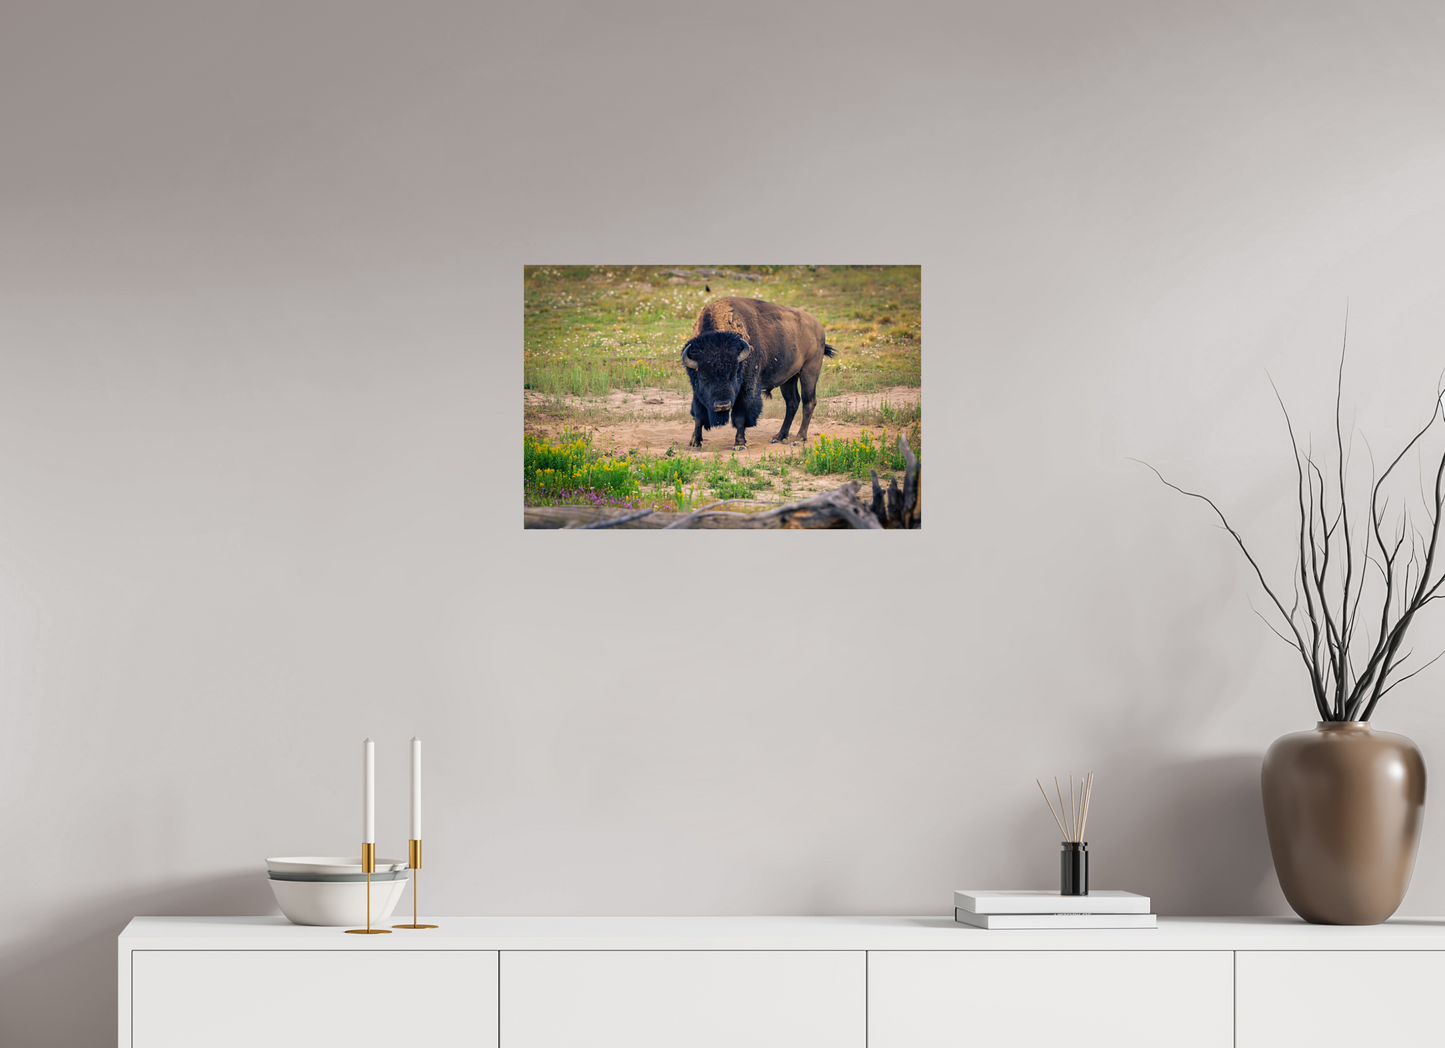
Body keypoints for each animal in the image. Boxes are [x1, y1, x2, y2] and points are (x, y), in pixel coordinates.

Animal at [680, 297, 837, 449]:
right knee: (792, 403)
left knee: (808, 402)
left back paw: (799, 439)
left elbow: (739, 416)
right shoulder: (698, 392)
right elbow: (698, 416)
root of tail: (818, 326)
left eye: (734, 375)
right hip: (789, 379)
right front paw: (694, 442)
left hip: (809, 372)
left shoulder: (746, 389)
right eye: (703, 378)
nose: (722, 405)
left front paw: (739, 444)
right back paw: (778, 437)